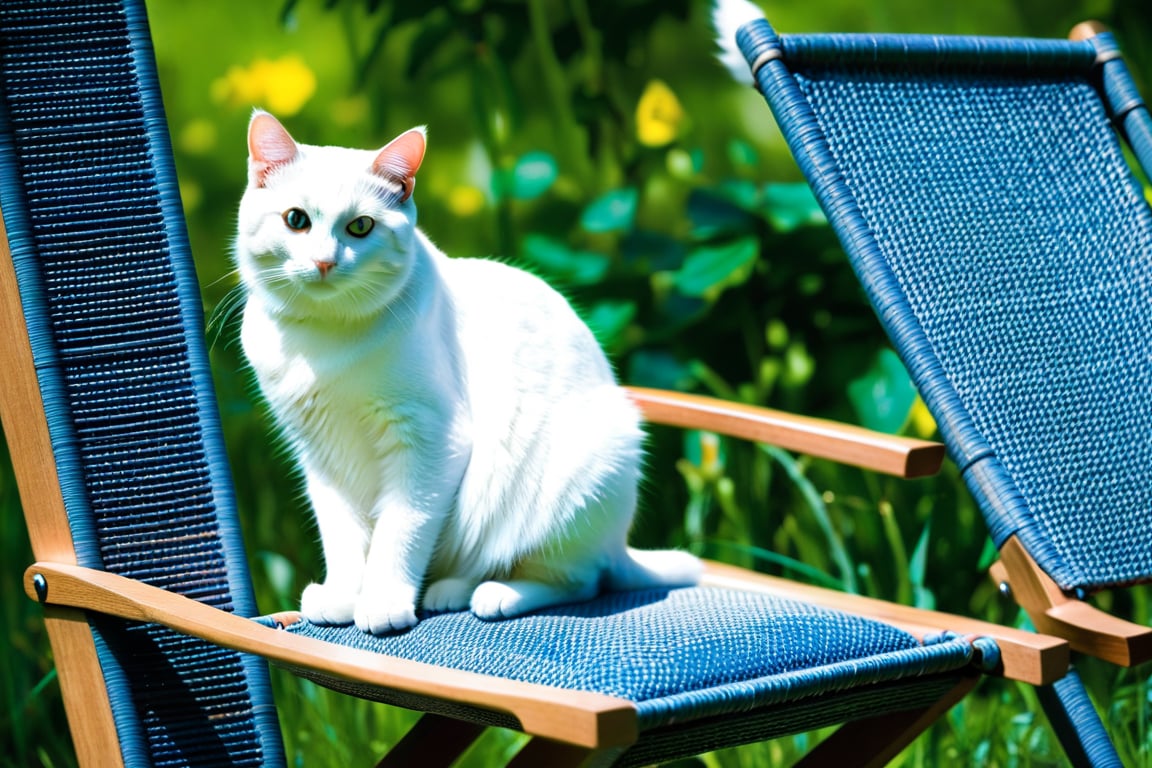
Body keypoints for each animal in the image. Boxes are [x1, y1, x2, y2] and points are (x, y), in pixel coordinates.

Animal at [237, 111, 695, 635]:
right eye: (296, 220)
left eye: (360, 226)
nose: (324, 261)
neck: (324, 337)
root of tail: (620, 546)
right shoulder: (320, 455)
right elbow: (342, 535)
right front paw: (343, 596)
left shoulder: (430, 440)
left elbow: (401, 529)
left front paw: (383, 602)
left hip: (573, 481)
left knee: (577, 581)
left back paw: (485, 593)